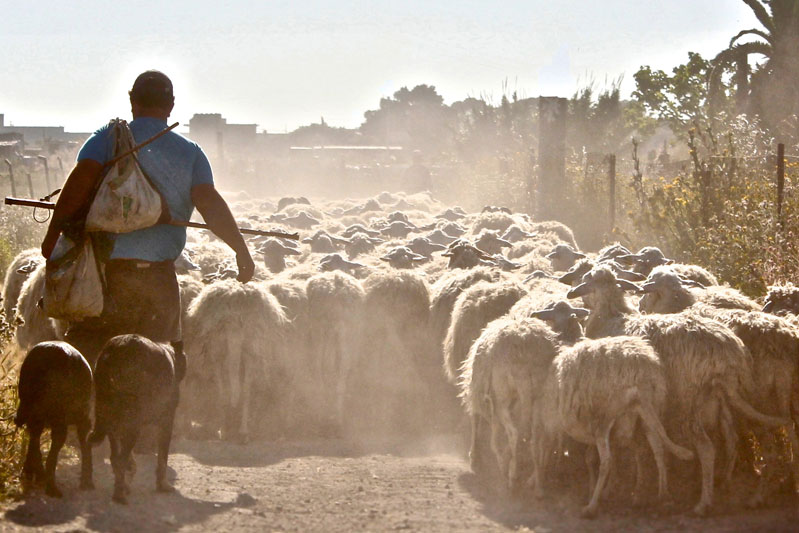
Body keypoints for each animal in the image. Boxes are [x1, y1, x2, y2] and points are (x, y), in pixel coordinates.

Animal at [15, 341, 94, 497]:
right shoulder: (84, 418)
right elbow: (85, 444)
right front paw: (87, 482)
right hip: (58, 415)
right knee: (53, 445)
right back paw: (51, 487)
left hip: (30, 406)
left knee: (34, 437)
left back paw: (34, 475)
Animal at [89, 335, 180, 504]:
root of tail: (113, 350)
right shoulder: (166, 420)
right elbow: (163, 457)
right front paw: (163, 485)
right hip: (133, 423)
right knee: (120, 459)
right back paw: (120, 495)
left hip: (111, 417)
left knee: (115, 458)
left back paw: (122, 486)